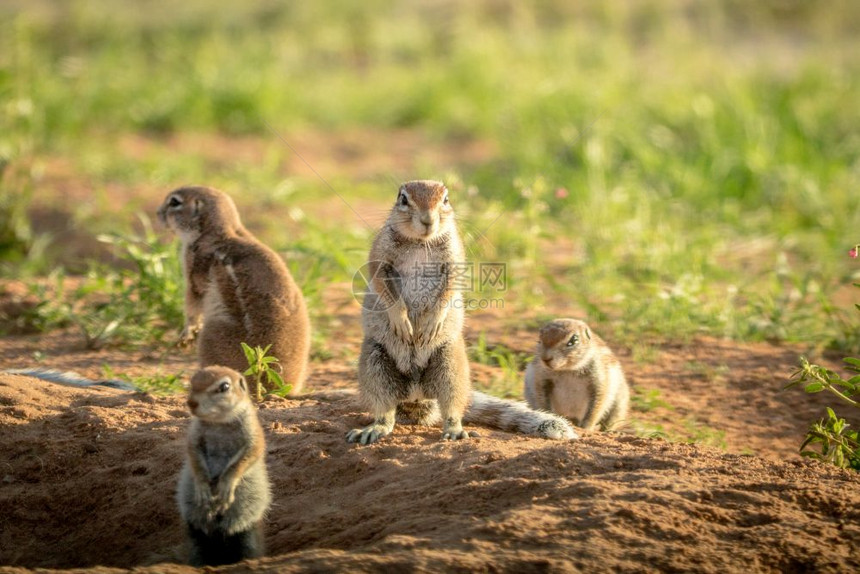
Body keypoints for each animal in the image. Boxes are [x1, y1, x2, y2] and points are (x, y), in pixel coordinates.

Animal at [159, 187, 312, 398]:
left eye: (174, 202)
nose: (158, 214)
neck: (220, 231)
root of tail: (270, 386)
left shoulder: (192, 268)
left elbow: (192, 305)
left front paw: (186, 335)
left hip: (211, 336)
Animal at [175, 366, 268, 568]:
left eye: (224, 386)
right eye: (192, 381)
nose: (191, 402)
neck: (219, 422)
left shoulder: (253, 434)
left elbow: (245, 459)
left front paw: (226, 484)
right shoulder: (194, 436)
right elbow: (193, 455)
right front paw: (203, 487)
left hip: (246, 529)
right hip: (195, 532)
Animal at [344, 180, 576, 446]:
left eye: (445, 199)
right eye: (403, 199)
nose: (427, 220)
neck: (421, 242)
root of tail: (417, 394)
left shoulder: (454, 257)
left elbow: (450, 287)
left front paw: (431, 323)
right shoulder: (380, 254)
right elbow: (383, 284)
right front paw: (402, 321)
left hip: (451, 365)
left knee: (453, 406)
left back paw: (454, 429)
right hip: (374, 365)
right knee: (385, 411)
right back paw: (374, 429)